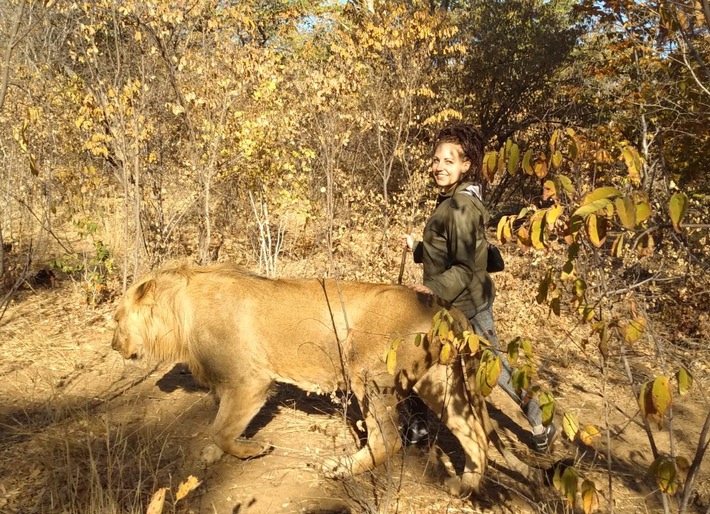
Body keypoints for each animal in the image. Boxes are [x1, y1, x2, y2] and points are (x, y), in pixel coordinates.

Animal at [112, 262, 536, 494]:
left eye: (116, 318)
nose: (114, 345)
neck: (180, 312)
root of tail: (444, 307)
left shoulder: (251, 381)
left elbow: (221, 429)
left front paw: (253, 449)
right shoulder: (238, 385)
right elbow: (221, 428)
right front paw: (213, 456)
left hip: (368, 372)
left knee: (389, 440)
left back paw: (339, 469)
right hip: (439, 382)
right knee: (475, 436)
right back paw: (464, 488)